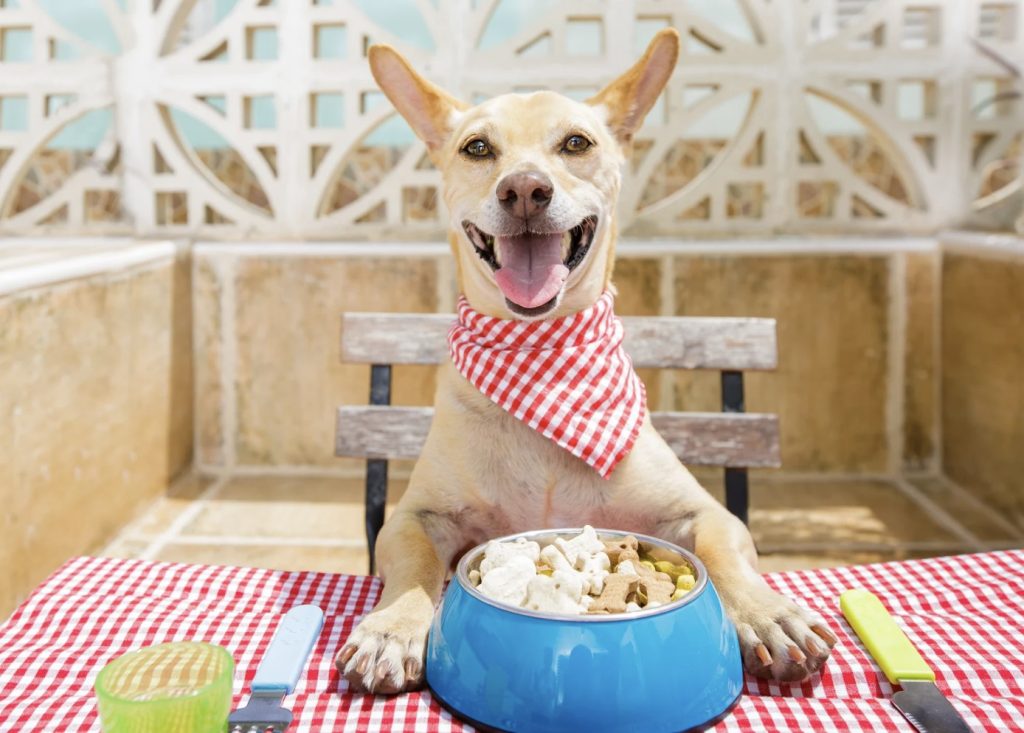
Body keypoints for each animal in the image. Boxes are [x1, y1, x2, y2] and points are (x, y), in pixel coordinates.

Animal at [339, 28, 835, 692]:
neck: (543, 361)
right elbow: (416, 565)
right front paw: (393, 626)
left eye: (576, 142)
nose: (525, 189)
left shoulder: (705, 512)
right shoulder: (414, 517)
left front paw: (766, 612)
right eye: (477, 147)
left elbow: (723, 553)